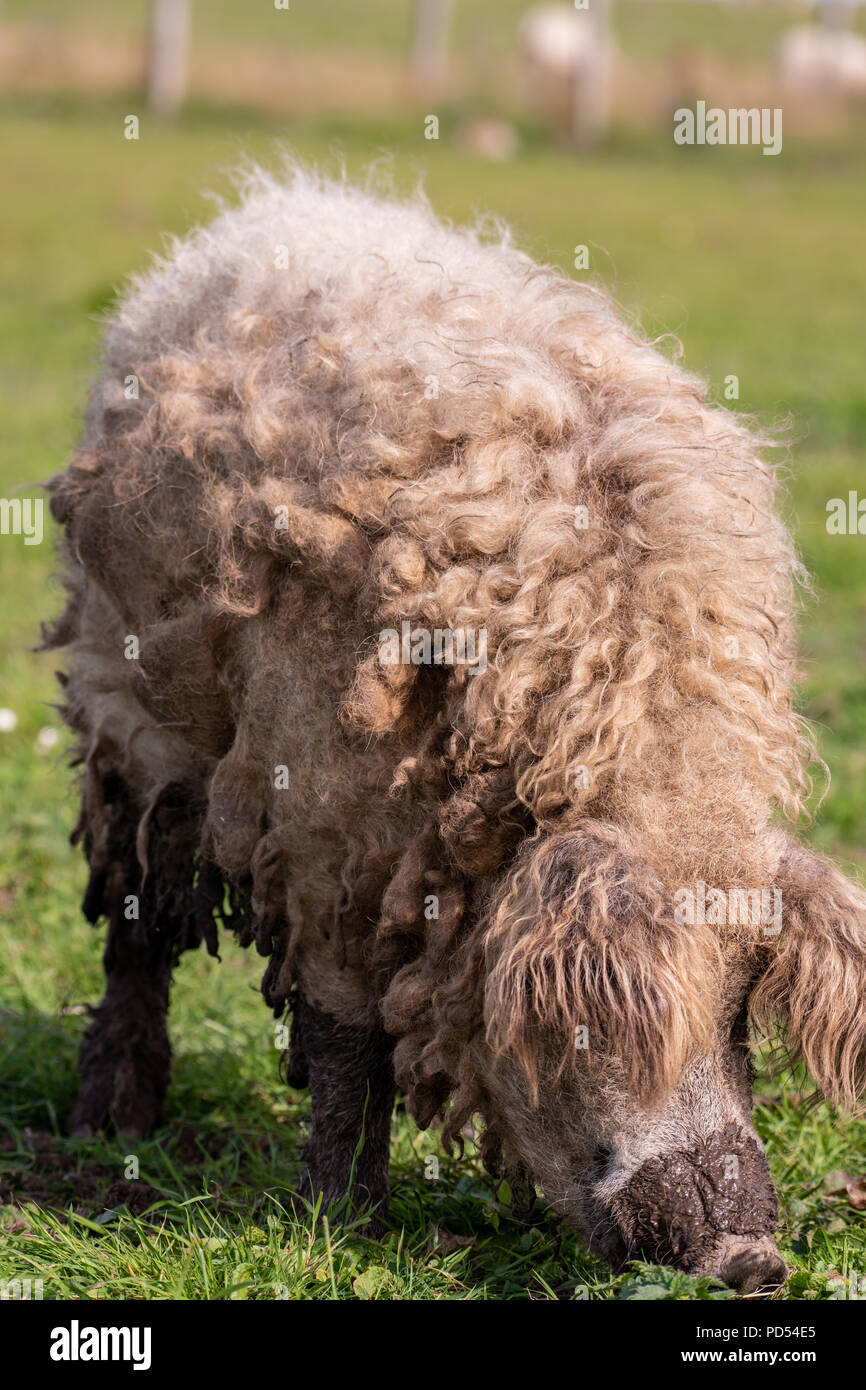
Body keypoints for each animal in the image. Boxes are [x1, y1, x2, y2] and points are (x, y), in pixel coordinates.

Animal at [45, 170, 866, 1289]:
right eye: (586, 1024)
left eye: (741, 1000)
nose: (745, 1256)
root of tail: (280, 198)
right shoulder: (323, 817)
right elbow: (344, 1028)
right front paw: (339, 1225)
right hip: (115, 691)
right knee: (136, 906)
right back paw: (112, 1125)